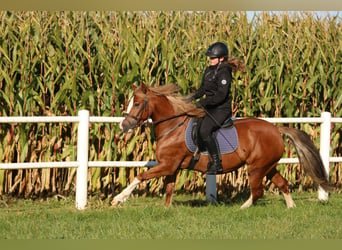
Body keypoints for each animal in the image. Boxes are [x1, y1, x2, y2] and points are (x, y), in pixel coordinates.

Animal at [111, 83, 332, 208]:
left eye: (137, 104)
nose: (124, 126)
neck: (173, 127)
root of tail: (276, 129)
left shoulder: (167, 165)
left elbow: (140, 176)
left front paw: (118, 199)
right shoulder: (172, 167)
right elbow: (169, 189)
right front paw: (165, 209)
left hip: (256, 168)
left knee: (258, 192)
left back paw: (241, 209)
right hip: (268, 166)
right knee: (282, 184)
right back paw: (291, 208)